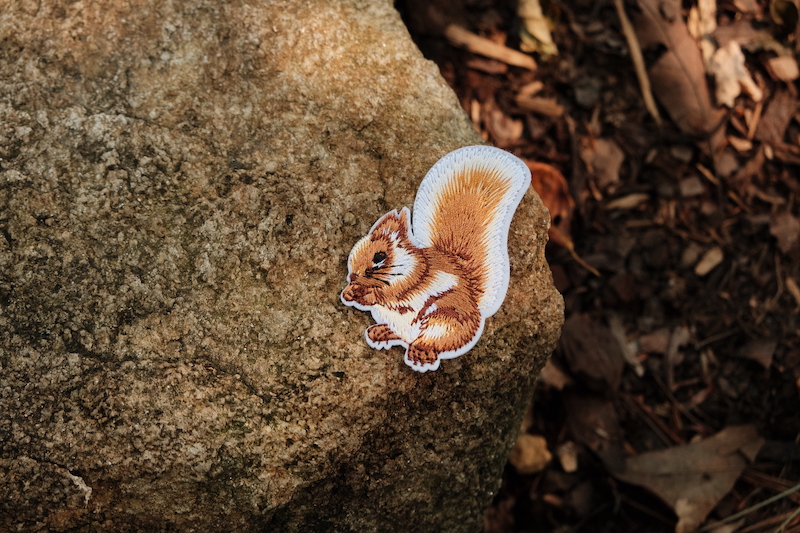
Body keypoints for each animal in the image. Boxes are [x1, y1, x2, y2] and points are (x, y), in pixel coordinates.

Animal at [341, 145, 532, 372]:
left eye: (380, 256)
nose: (352, 277)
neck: (404, 265)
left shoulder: (411, 282)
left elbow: (388, 295)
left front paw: (366, 294)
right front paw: (350, 291)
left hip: (441, 323)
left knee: (428, 342)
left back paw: (420, 353)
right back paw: (381, 332)